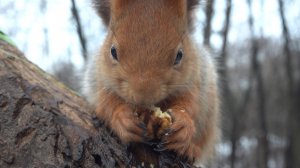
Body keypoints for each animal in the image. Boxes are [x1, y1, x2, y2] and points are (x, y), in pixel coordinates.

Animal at [83, 0, 219, 165]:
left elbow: (190, 104)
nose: (143, 96)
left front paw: (183, 123)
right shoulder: (100, 80)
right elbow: (107, 104)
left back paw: (190, 149)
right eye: (113, 51)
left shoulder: (193, 80)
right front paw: (122, 118)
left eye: (179, 55)